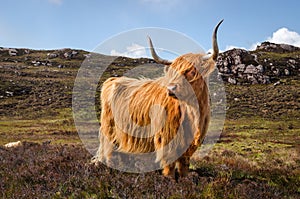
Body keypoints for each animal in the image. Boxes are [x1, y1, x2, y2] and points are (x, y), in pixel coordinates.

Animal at [93, 20, 223, 179]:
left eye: (192, 71)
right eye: (172, 72)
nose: (171, 89)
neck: (193, 113)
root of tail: (112, 80)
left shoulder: (188, 146)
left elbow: (184, 166)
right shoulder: (166, 139)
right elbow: (169, 166)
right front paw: (169, 180)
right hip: (109, 128)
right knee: (107, 152)